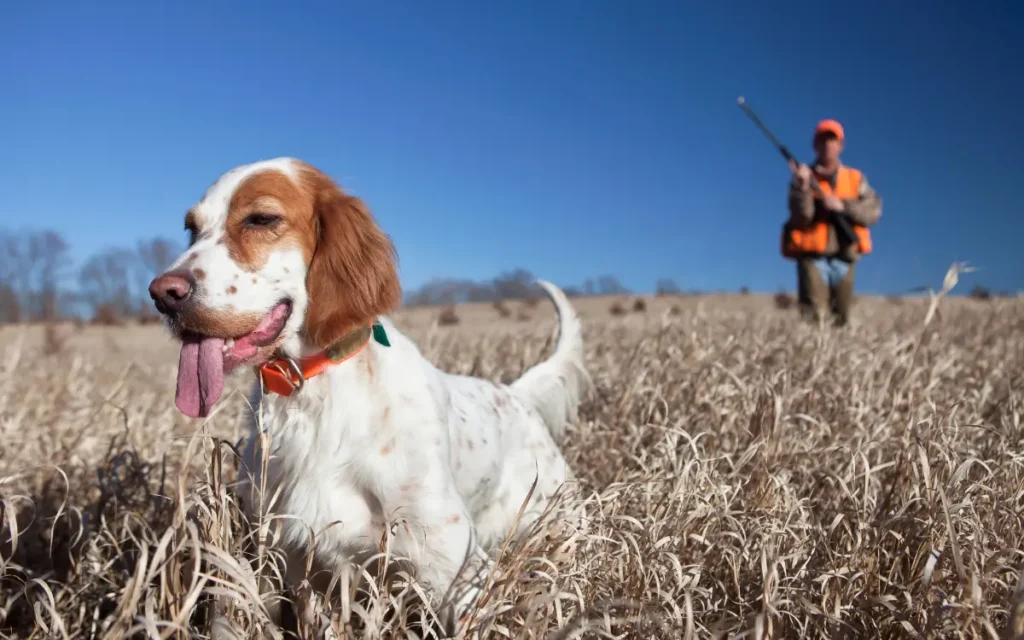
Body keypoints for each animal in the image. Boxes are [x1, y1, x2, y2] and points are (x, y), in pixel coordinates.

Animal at [148, 159, 589, 634]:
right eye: (192, 229)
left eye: (261, 219)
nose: (163, 294)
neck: (314, 394)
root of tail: (515, 394)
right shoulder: (276, 555)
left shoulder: (457, 566)